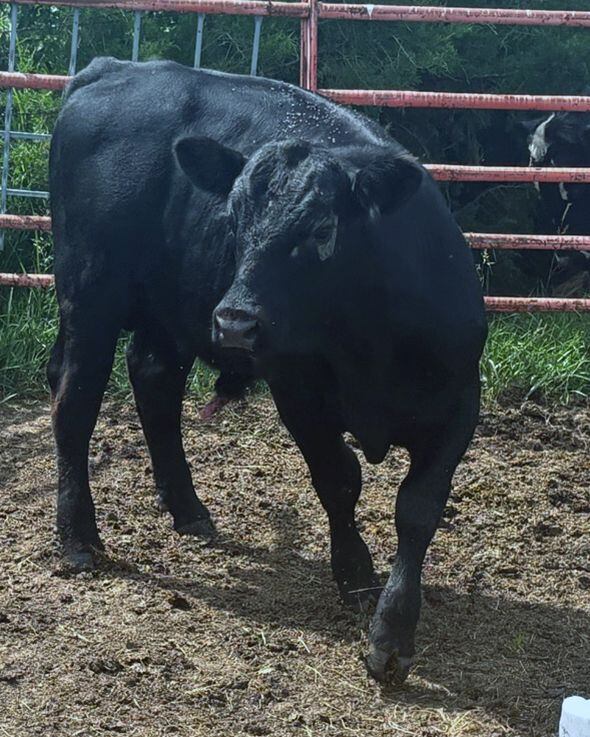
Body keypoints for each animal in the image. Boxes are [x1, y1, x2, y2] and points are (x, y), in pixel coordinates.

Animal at [48, 57, 487, 682]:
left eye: (323, 231)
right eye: (233, 221)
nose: (234, 322)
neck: (370, 338)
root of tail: (114, 68)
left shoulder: (459, 402)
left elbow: (418, 508)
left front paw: (394, 630)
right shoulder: (298, 392)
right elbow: (338, 479)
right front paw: (356, 575)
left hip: (167, 311)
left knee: (154, 382)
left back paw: (188, 509)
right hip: (89, 296)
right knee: (75, 404)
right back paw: (79, 536)